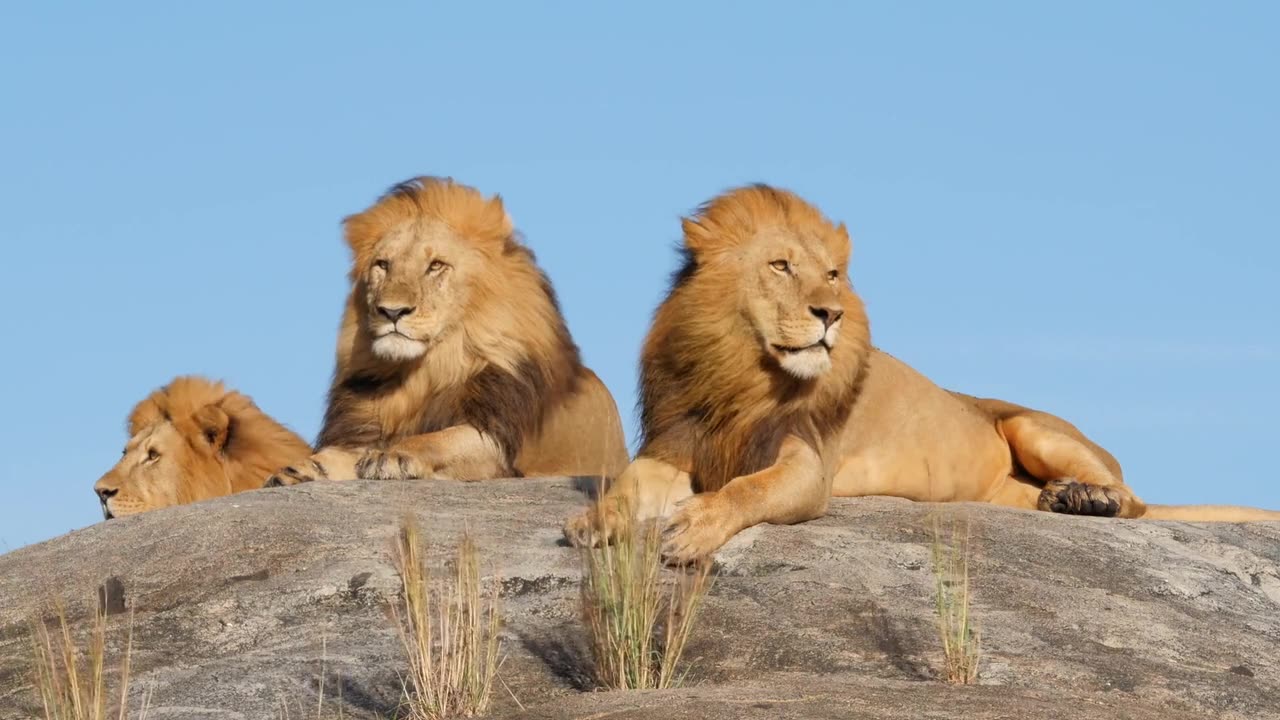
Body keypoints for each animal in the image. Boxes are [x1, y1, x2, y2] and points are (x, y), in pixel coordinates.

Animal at [266, 175, 629, 484]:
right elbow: (345, 452)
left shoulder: (495, 441)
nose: (391, 311)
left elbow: (440, 439)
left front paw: (393, 454)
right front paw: (303, 469)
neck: (424, 372)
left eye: (435, 266)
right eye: (382, 265)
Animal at [565, 183, 1280, 561]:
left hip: (1035, 428)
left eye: (832, 274)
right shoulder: (676, 444)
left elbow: (750, 490)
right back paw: (1059, 501)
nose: (830, 314)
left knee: (1136, 500)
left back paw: (1089, 498)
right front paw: (596, 521)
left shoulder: (807, 465)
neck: (743, 371)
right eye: (780, 266)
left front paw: (694, 528)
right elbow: (628, 484)